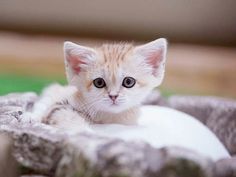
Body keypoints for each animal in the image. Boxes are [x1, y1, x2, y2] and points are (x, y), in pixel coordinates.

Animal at [27, 38, 167, 132]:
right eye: (99, 82)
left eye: (128, 82)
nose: (113, 96)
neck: (109, 117)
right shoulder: (60, 104)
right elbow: (64, 115)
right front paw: (84, 131)